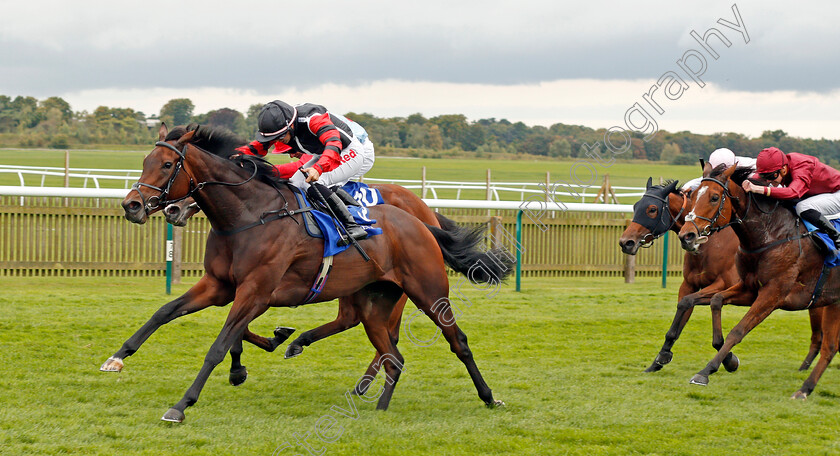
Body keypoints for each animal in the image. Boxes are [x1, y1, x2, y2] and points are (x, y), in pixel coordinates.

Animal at [616, 176, 820, 372]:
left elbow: (691, 302)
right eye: (635, 206)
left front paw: (729, 359)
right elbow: (682, 308)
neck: (710, 242)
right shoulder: (689, 284)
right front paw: (660, 358)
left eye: (652, 209)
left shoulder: (726, 284)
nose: (626, 242)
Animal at [680, 165, 840, 400]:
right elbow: (716, 300)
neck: (771, 235)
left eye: (714, 197)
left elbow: (738, 330)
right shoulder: (749, 288)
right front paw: (727, 358)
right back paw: (804, 389)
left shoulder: (773, 294)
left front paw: (705, 372)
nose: (687, 236)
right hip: (834, 302)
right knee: (830, 347)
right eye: (691, 196)